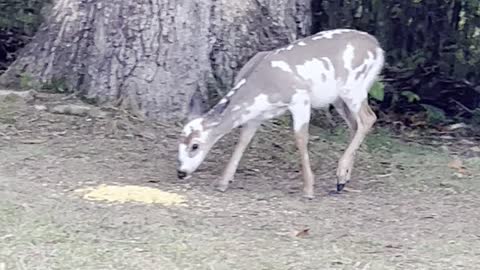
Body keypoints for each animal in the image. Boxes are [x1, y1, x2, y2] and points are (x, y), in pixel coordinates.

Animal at [175, 29, 382, 198]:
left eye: (195, 145)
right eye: (179, 142)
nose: (181, 172)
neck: (261, 86)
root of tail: (378, 48)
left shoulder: (300, 98)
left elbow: (300, 138)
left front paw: (308, 189)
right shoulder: (256, 115)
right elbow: (243, 139)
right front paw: (223, 182)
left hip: (353, 86)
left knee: (368, 118)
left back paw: (340, 174)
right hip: (339, 97)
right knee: (354, 124)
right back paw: (343, 180)